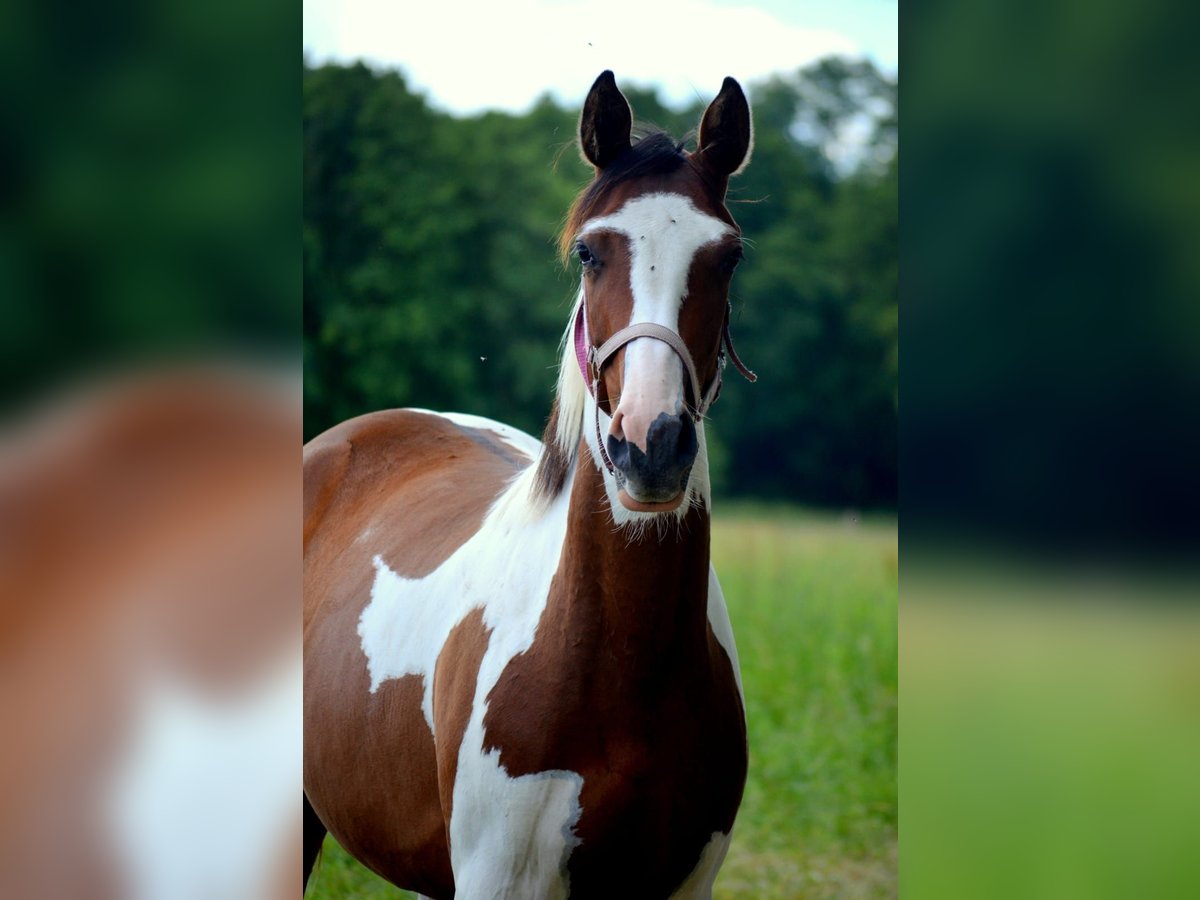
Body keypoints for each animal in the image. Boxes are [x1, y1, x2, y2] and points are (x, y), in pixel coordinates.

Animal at [304, 72, 758, 900]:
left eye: (728, 256)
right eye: (588, 251)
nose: (651, 446)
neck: (622, 665)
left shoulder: (685, 884)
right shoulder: (500, 879)